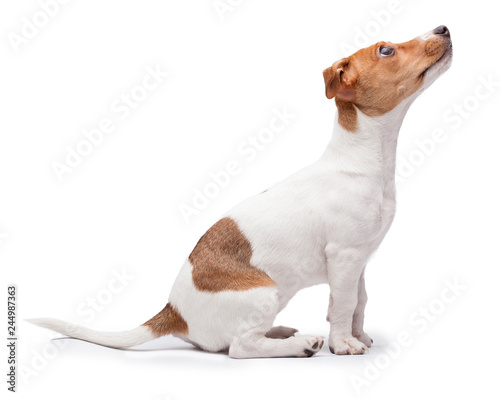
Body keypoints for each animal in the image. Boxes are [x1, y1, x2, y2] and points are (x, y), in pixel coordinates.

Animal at [30, 25, 454, 360]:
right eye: (386, 50)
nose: (443, 27)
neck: (363, 161)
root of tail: (173, 312)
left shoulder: (360, 261)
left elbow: (359, 303)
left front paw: (358, 335)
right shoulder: (345, 257)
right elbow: (343, 304)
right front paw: (343, 344)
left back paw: (281, 332)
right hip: (265, 292)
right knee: (239, 347)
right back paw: (299, 344)